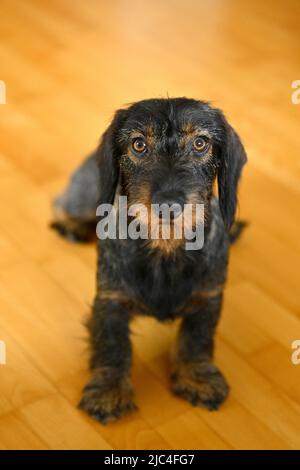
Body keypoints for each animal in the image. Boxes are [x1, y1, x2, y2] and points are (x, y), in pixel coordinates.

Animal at [51, 97, 247, 424]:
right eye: (139, 144)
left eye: (200, 143)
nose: (168, 205)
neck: (165, 247)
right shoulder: (110, 299)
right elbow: (113, 345)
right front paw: (108, 392)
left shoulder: (208, 298)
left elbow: (197, 339)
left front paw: (198, 378)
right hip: (85, 196)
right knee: (64, 203)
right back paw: (72, 225)